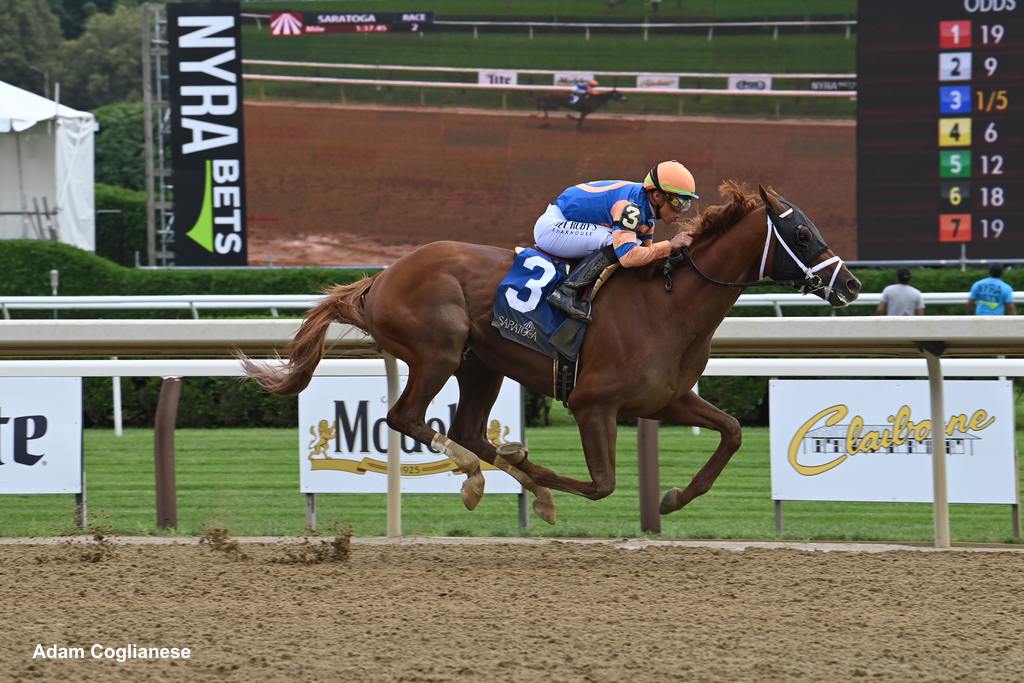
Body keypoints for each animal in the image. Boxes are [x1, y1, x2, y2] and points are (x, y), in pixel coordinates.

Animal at [237, 181, 856, 524]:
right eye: (801, 234)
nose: (848, 285)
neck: (667, 304)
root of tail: (379, 279)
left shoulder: (667, 399)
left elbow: (731, 431)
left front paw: (675, 497)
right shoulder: (593, 404)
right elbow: (601, 485)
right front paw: (539, 484)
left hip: (481, 365)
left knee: (465, 430)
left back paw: (499, 470)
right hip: (439, 351)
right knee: (408, 418)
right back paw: (480, 477)